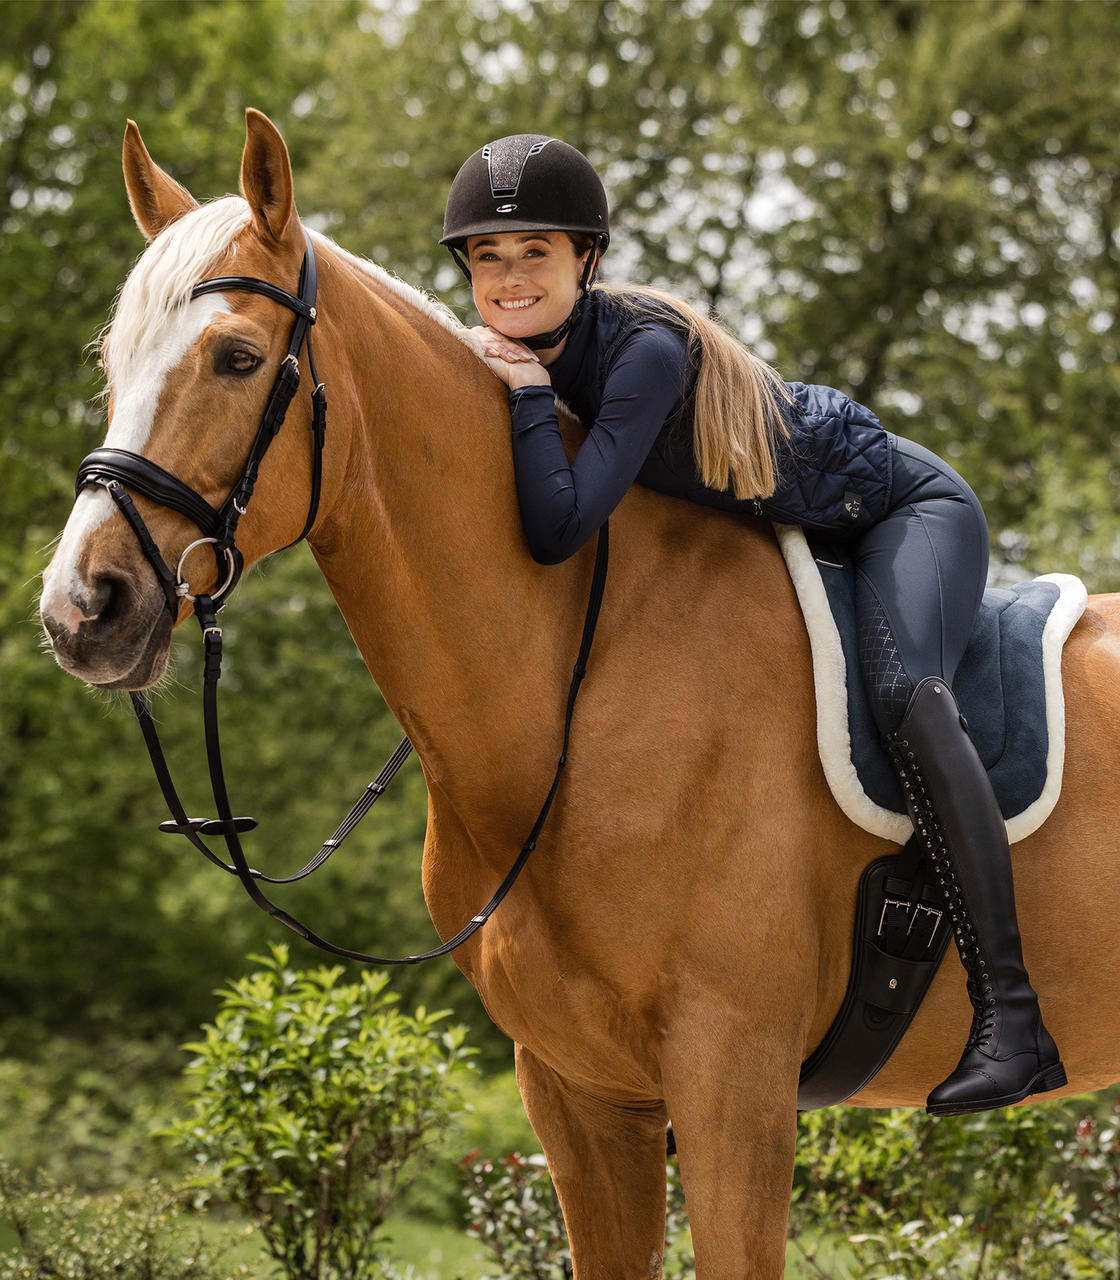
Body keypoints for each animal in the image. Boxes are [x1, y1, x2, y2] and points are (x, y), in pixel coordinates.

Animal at [39, 115, 1120, 1274]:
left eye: (237, 357)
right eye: (111, 361)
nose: (82, 607)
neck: (581, 691)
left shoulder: (733, 1080)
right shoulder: (581, 1092)